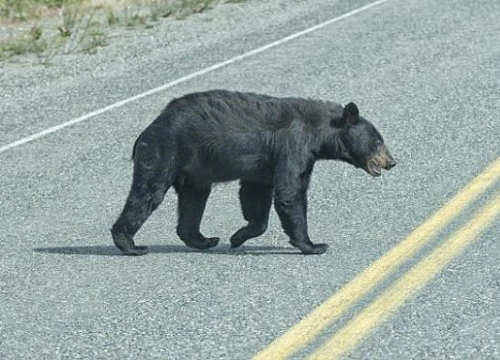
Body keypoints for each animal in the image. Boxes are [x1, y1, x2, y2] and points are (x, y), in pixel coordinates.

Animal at [111, 91, 396, 258]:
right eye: (377, 141)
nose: (392, 162)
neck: (318, 132)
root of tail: (147, 129)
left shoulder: (266, 165)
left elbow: (255, 194)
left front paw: (238, 237)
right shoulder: (293, 145)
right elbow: (290, 192)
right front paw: (313, 245)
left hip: (194, 171)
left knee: (194, 199)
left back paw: (204, 240)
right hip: (165, 151)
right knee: (148, 193)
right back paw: (130, 244)